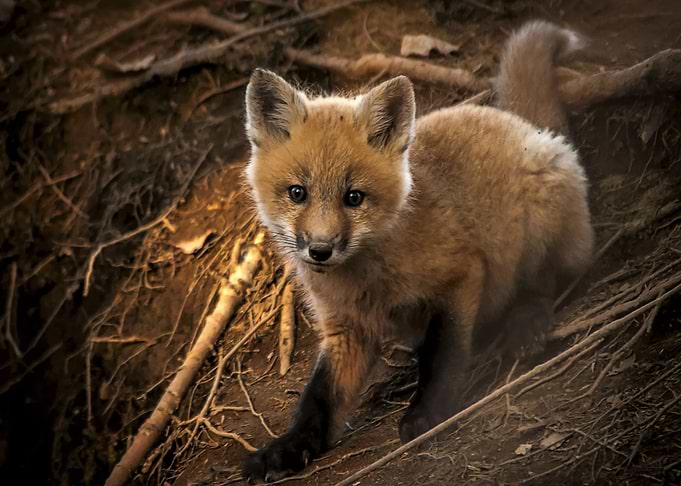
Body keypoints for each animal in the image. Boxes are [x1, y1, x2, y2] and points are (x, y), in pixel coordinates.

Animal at [239, 20, 594, 483]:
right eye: (297, 193)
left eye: (354, 198)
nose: (320, 250)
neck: (367, 283)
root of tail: (517, 120)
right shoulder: (345, 329)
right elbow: (317, 399)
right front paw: (286, 448)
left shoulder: (462, 275)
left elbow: (442, 354)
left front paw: (428, 413)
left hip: (543, 207)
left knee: (551, 277)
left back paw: (525, 322)